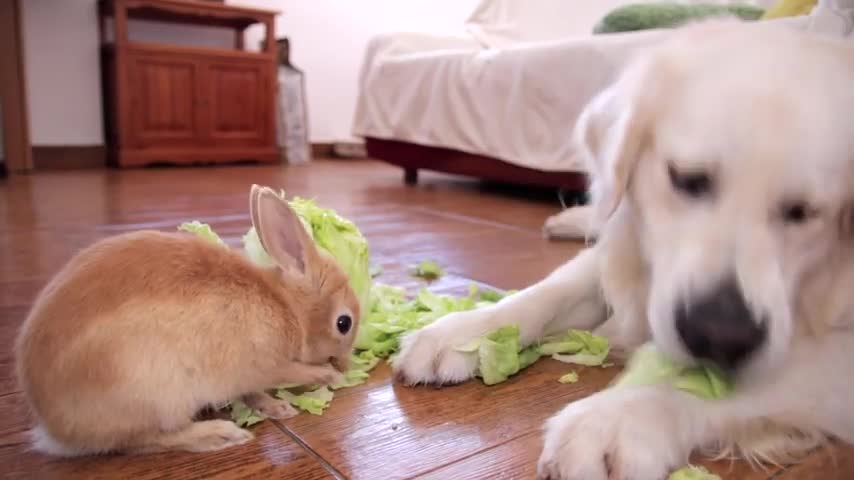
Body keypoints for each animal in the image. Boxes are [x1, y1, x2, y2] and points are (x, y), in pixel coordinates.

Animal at [13, 185, 362, 458]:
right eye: (343, 323)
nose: (347, 365)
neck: (287, 306)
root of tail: (55, 429)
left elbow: (251, 393)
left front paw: (276, 407)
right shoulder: (265, 364)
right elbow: (287, 372)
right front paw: (327, 376)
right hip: (159, 398)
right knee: (144, 440)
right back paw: (220, 434)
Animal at [392, 18, 854, 480]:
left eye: (803, 212)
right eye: (686, 179)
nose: (719, 333)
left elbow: (727, 383)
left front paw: (617, 417)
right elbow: (549, 292)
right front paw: (465, 331)